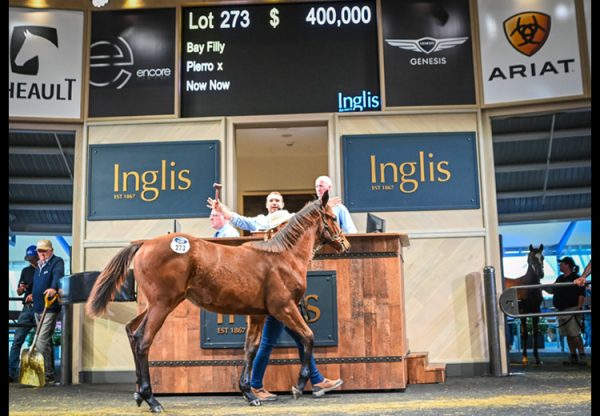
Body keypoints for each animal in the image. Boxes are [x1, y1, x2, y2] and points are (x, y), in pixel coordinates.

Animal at [84, 192, 346, 412]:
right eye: (333, 217)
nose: (344, 244)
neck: (283, 257)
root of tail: (144, 244)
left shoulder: (259, 314)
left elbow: (251, 349)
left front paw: (249, 394)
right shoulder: (284, 308)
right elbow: (308, 337)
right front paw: (299, 386)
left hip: (154, 305)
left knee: (131, 330)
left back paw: (139, 395)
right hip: (162, 305)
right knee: (142, 340)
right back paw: (152, 400)